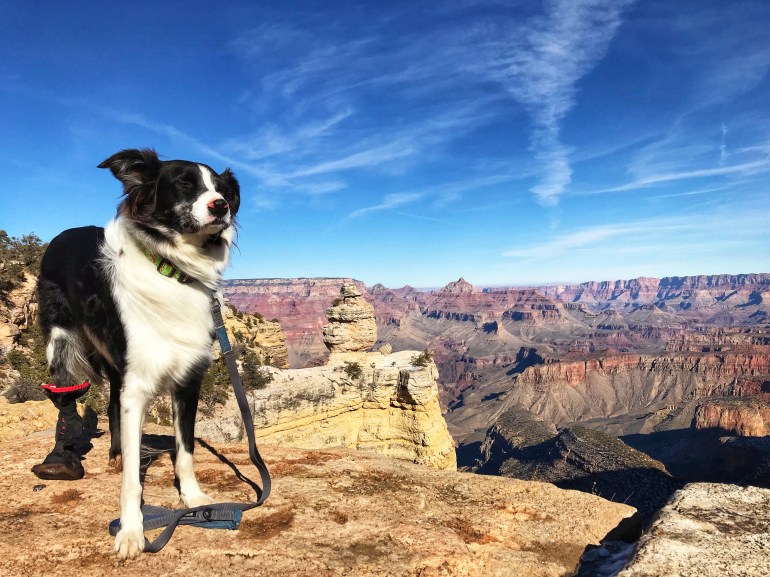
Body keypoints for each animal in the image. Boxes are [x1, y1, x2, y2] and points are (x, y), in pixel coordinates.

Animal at [37, 148, 240, 559]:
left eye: (221, 188)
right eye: (184, 184)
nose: (221, 206)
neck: (173, 272)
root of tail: (62, 233)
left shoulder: (188, 380)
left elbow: (186, 450)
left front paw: (194, 500)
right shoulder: (138, 383)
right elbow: (134, 476)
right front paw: (131, 530)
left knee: (113, 402)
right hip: (62, 342)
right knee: (74, 394)